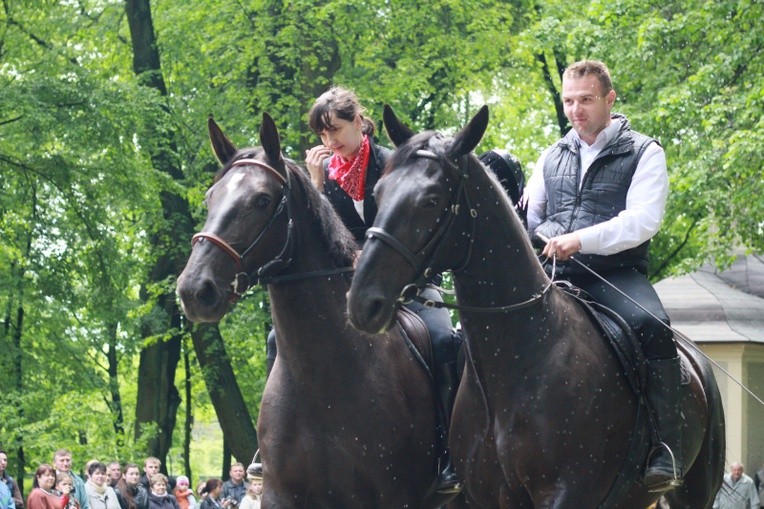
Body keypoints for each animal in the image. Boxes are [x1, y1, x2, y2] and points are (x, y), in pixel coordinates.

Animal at [346, 105, 724, 506]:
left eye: (431, 199)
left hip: (694, 492)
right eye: (379, 192)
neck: (519, 361)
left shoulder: (565, 493)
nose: (363, 300)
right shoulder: (491, 495)